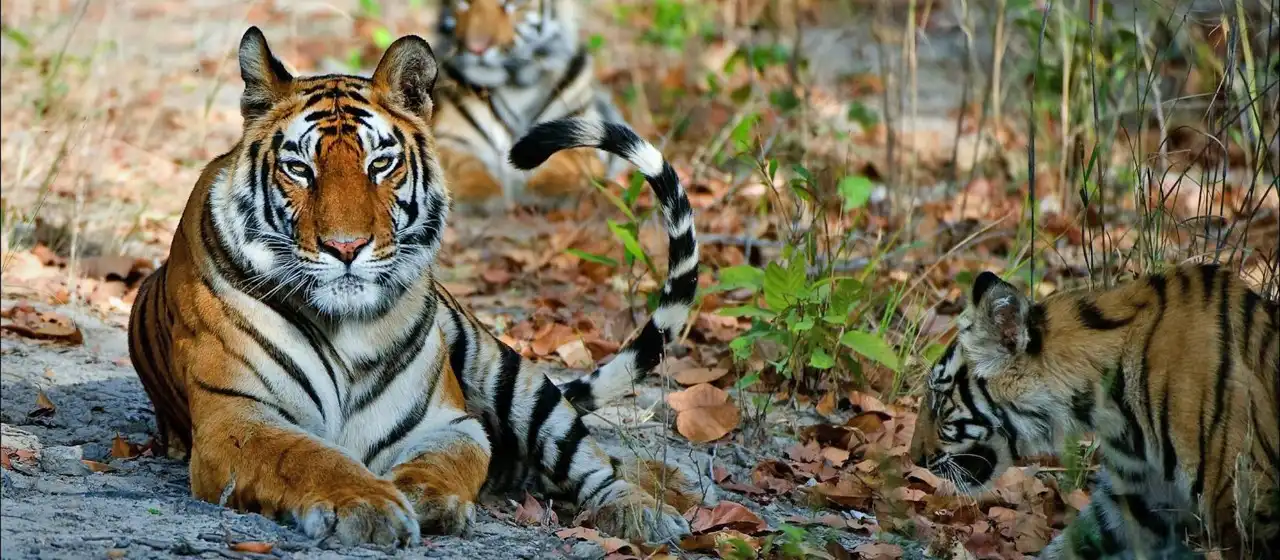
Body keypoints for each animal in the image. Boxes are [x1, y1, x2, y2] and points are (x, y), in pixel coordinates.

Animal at [126, 26, 706, 548]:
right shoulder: (238, 418)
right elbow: (311, 457)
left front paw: (426, 499)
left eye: (380, 164)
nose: (346, 247)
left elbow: (446, 462)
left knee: (592, 461)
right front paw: (369, 506)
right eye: (299, 168)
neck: (347, 329)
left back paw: (653, 507)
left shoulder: (448, 423)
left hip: (509, 373)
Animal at [429, 0, 628, 213]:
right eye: (464, 3)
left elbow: (569, 158)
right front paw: (480, 194)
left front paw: (550, 189)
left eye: (509, 4)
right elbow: (464, 164)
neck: (517, 87)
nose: (476, 49)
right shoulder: (452, 139)